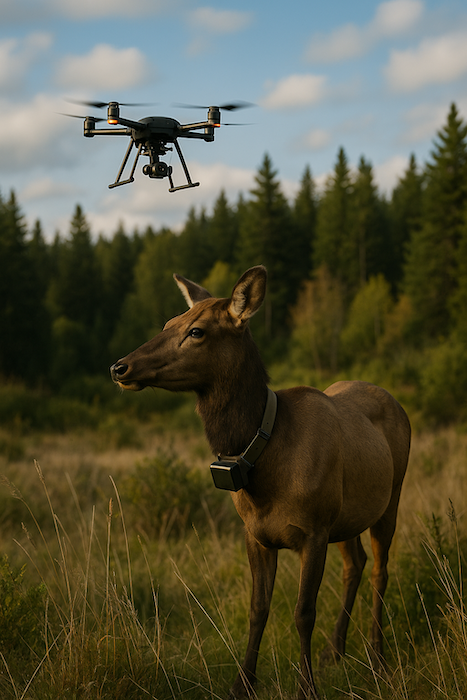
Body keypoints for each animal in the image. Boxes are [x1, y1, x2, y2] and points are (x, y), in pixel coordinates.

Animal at [110, 265, 411, 700]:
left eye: (197, 331)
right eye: (168, 323)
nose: (120, 367)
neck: (266, 465)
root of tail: (394, 400)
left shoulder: (314, 530)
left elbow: (303, 613)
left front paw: (307, 687)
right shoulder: (256, 533)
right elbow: (258, 609)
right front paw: (242, 683)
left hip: (391, 498)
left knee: (380, 572)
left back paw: (377, 658)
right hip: (347, 516)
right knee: (355, 564)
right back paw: (335, 650)